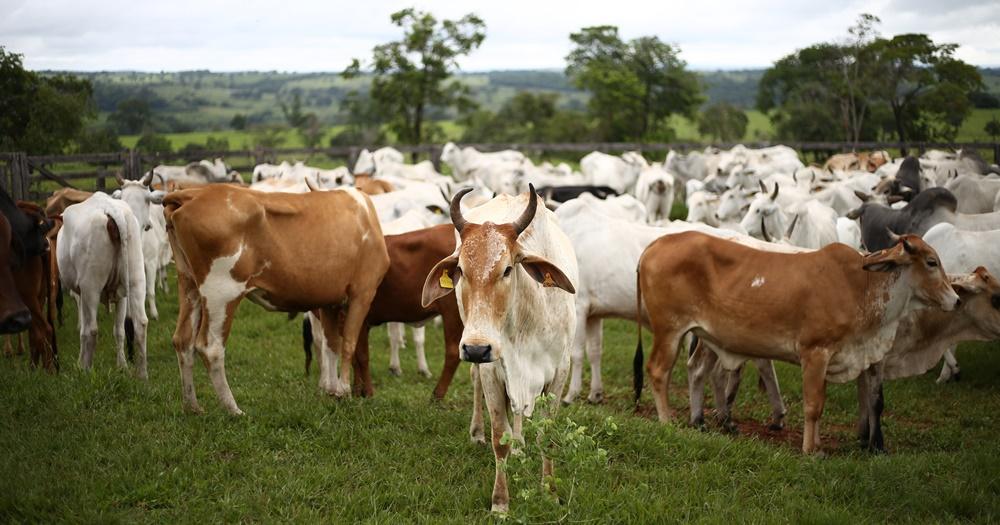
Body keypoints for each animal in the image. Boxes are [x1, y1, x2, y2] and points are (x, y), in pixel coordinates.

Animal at [164, 184, 386, 414]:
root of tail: (194, 193)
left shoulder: (329, 301)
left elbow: (331, 345)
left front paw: (332, 392)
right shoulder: (363, 292)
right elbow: (349, 343)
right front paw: (344, 392)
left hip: (188, 283)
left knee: (183, 340)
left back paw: (192, 406)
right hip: (221, 292)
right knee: (211, 348)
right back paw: (233, 409)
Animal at [304, 223, 464, 400]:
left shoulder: (355, 318)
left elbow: (361, 356)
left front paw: (367, 392)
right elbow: (355, 357)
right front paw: (357, 390)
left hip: (452, 313)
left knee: (453, 352)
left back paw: (437, 395)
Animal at [636, 231, 956, 452]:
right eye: (931, 262)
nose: (955, 299)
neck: (860, 287)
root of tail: (656, 244)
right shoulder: (815, 353)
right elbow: (813, 405)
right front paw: (810, 450)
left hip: (700, 335)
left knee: (693, 370)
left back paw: (698, 421)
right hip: (669, 330)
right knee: (658, 371)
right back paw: (667, 421)